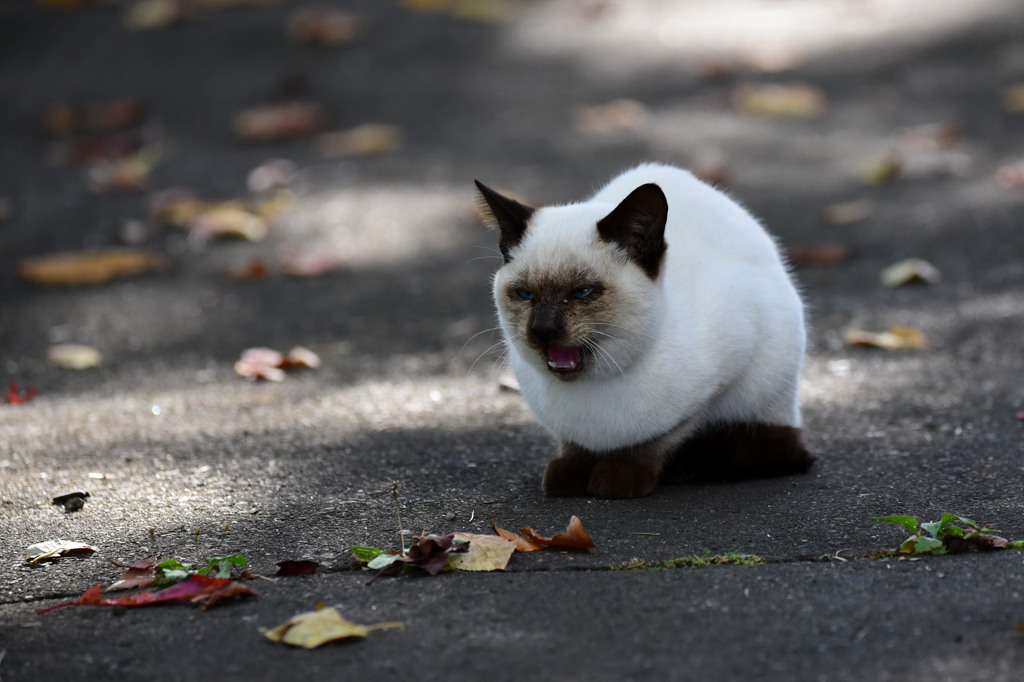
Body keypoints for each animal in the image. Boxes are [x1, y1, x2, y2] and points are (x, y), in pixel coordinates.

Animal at [473, 161, 815, 497]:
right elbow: (572, 446)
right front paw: (572, 471)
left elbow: (658, 440)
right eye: (524, 294)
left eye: (582, 292)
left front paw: (620, 475)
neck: (592, 389)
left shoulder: (718, 380)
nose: (542, 329)